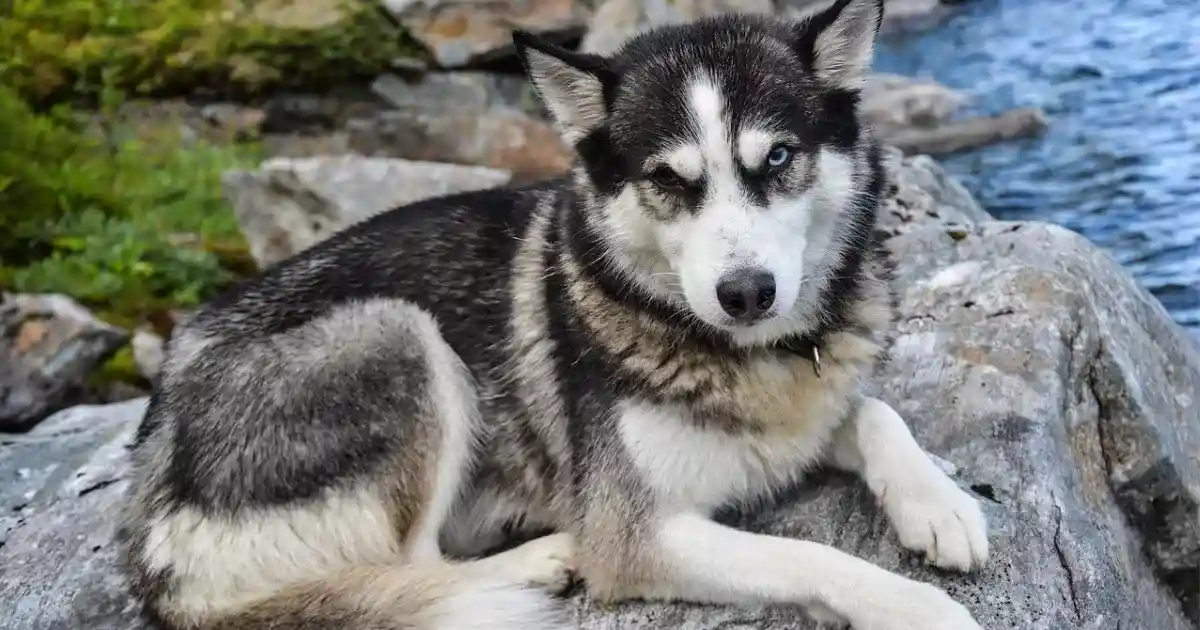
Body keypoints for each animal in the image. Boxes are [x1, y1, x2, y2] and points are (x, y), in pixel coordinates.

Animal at [121, 0, 988, 624]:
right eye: (667, 180)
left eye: (777, 157)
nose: (746, 293)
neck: (752, 356)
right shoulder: (637, 536)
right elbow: (812, 559)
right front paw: (919, 608)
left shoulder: (805, 409)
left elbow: (871, 411)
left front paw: (940, 504)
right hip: (395, 334)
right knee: (413, 570)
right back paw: (534, 560)